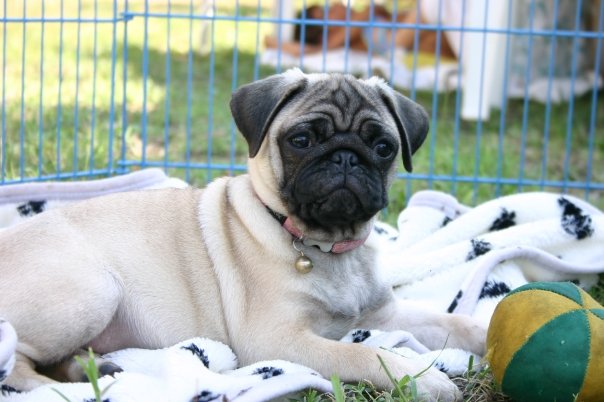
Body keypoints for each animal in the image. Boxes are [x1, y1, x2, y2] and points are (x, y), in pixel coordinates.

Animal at [0, 70, 484, 402]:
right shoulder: (278, 341)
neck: (328, 246)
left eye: (383, 148)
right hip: (94, 291)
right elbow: (361, 354)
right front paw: (424, 377)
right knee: (16, 358)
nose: (346, 157)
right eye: (301, 140)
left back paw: (90, 368)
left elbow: (450, 322)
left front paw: (483, 332)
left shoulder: (385, 316)